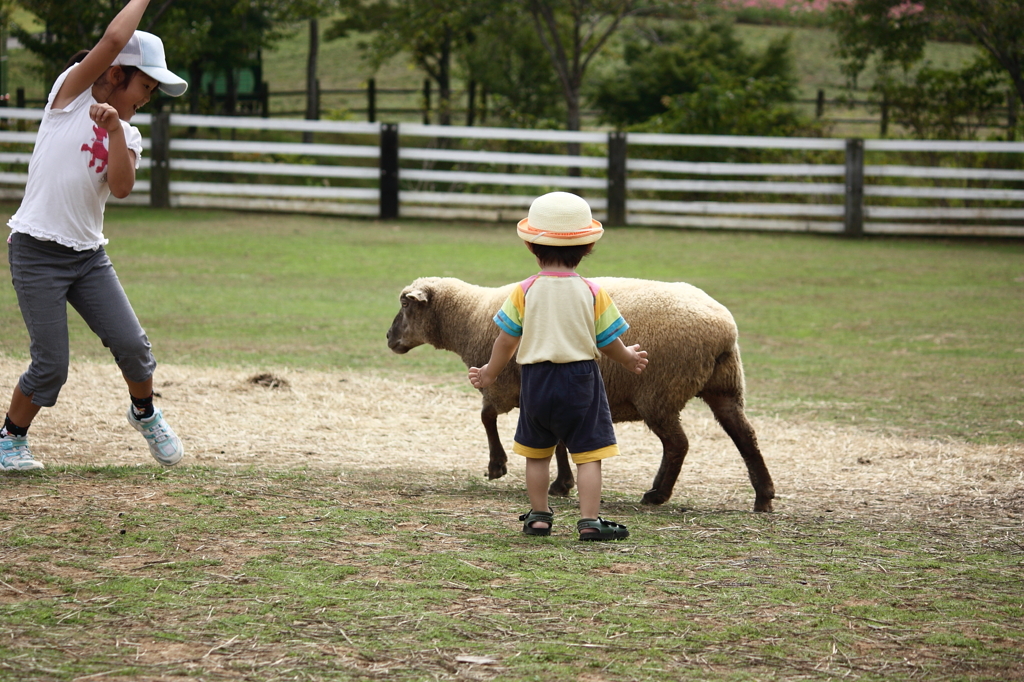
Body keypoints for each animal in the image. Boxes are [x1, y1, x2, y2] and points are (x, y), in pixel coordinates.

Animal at [385, 274, 774, 507]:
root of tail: (723, 329)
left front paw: (497, 466)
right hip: (724, 387)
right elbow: (558, 440)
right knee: (745, 436)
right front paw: (562, 484)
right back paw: (764, 497)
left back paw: (657, 494)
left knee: (678, 444)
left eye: (405, 305)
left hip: (660, 390)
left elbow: (486, 417)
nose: (388, 338)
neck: (472, 317)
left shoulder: (504, 384)